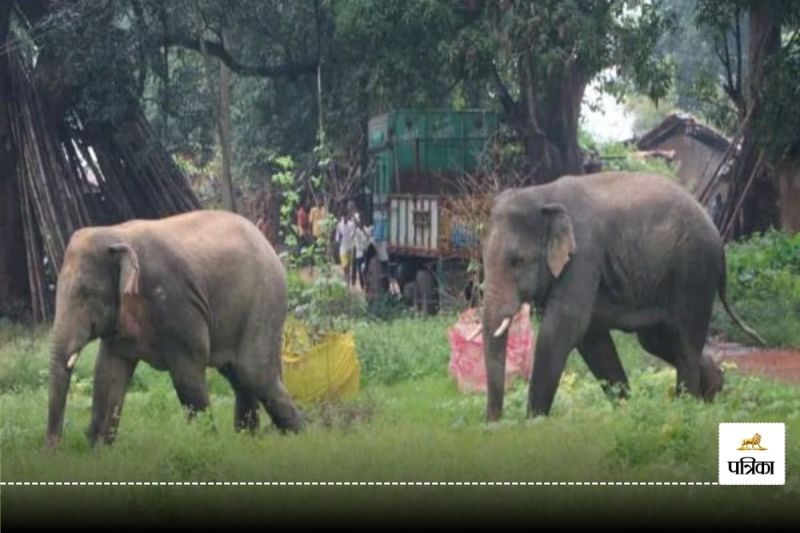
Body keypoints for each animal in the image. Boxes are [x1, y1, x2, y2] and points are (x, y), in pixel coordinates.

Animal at [47, 210, 303, 448]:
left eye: (84, 294)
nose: (51, 451)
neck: (116, 233)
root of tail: (266, 242)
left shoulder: (177, 303)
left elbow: (187, 374)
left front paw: (208, 445)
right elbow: (108, 373)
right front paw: (99, 451)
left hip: (265, 300)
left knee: (254, 373)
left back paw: (301, 438)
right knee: (239, 377)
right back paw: (248, 442)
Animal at [481, 171, 765, 421]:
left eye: (517, 261)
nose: (493, 423)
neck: (543, 194)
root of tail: (718, 235)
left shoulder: (584, 254)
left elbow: (564, 326)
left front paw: (533, 423)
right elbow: (591, 337)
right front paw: (625, 410)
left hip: (695, 272)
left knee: (685, 342)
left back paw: (687, 406)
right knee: (657, 341)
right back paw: (713, 389)